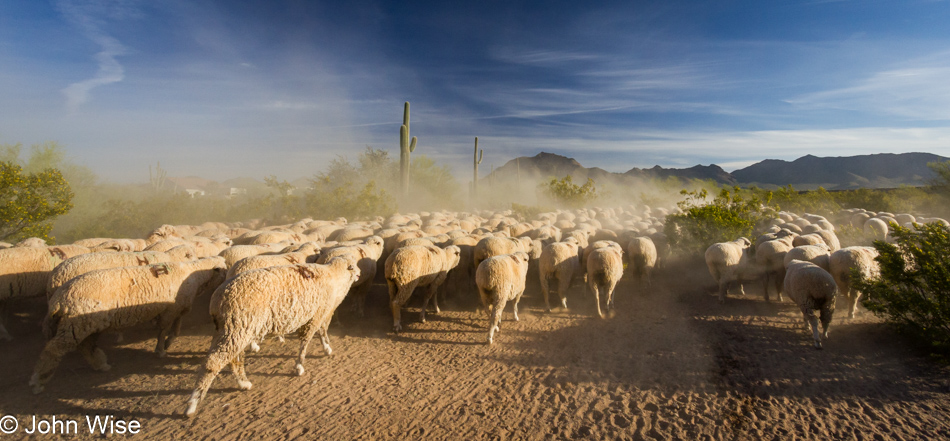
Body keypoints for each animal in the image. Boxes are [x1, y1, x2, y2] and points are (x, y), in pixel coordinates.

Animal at [29, 256, 227, 394]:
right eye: (224, 268)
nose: (227, 277)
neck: (195, 274)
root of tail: (58, 299)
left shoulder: (179, 307)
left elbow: (176, 327)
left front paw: (169, 341)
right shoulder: (170, 310)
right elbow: (163, 329)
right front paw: (161, 349)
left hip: (85, 324)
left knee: (85, 346)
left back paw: (101, 364)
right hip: (77, 324)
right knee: (53, 349)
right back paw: (37, 381)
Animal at [184, 256, 362, 414]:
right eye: (353, 266)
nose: (360, 273)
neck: (334, 276)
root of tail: (217, 299)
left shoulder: (319, 314)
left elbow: (320, 332)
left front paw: (325, 349)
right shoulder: (318, 314)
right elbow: (309, 339)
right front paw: (300, 365)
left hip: (232, 330)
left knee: (234, 359)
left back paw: (244, 383)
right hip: (237, 328)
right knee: (214, 362)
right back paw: (193, 403)